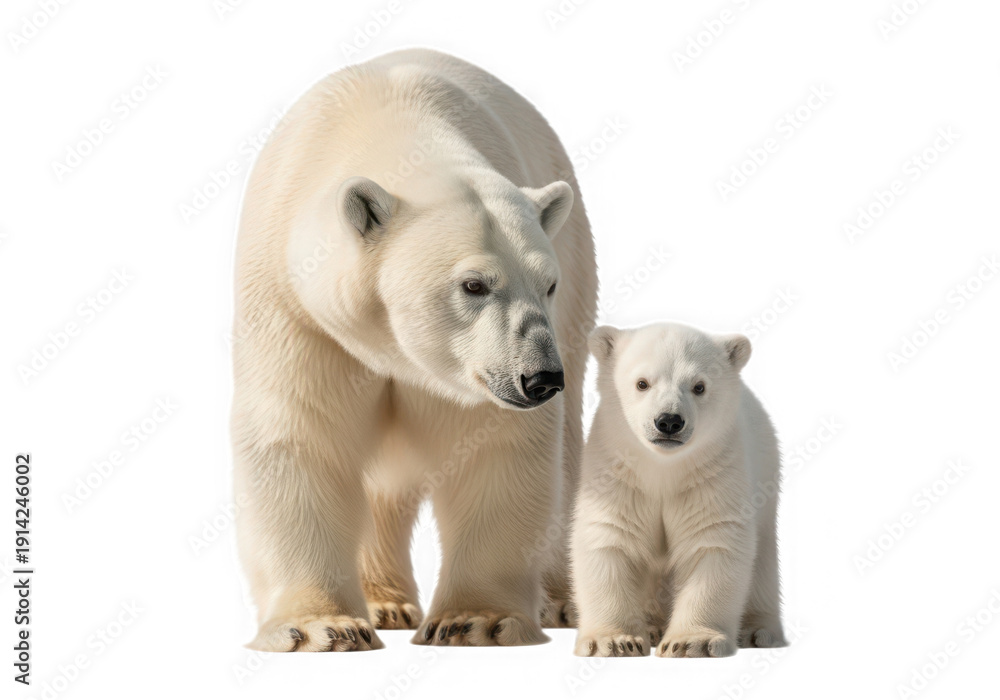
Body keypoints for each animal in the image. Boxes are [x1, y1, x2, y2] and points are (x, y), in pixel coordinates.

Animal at [232, 48, 597, 651]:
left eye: (547, 283)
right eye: (474, 285)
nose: (541, 378)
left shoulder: (482, 371)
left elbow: (494, 450)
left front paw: (474, 620)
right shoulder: (297, 310)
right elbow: (301, 436)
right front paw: (322, 627)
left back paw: (563, 601)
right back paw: (385, 604)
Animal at [571, 322, 785, 657]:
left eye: (699, 386)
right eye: (642, 383)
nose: (669, 421)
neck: (663, 467)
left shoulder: (713, 473)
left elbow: (711, 541)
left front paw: (691, 642)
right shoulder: (616, 473)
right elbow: (610, 537)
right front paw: (615, 641)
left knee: (763, 561)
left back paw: (758, 631)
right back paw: (652, 626)